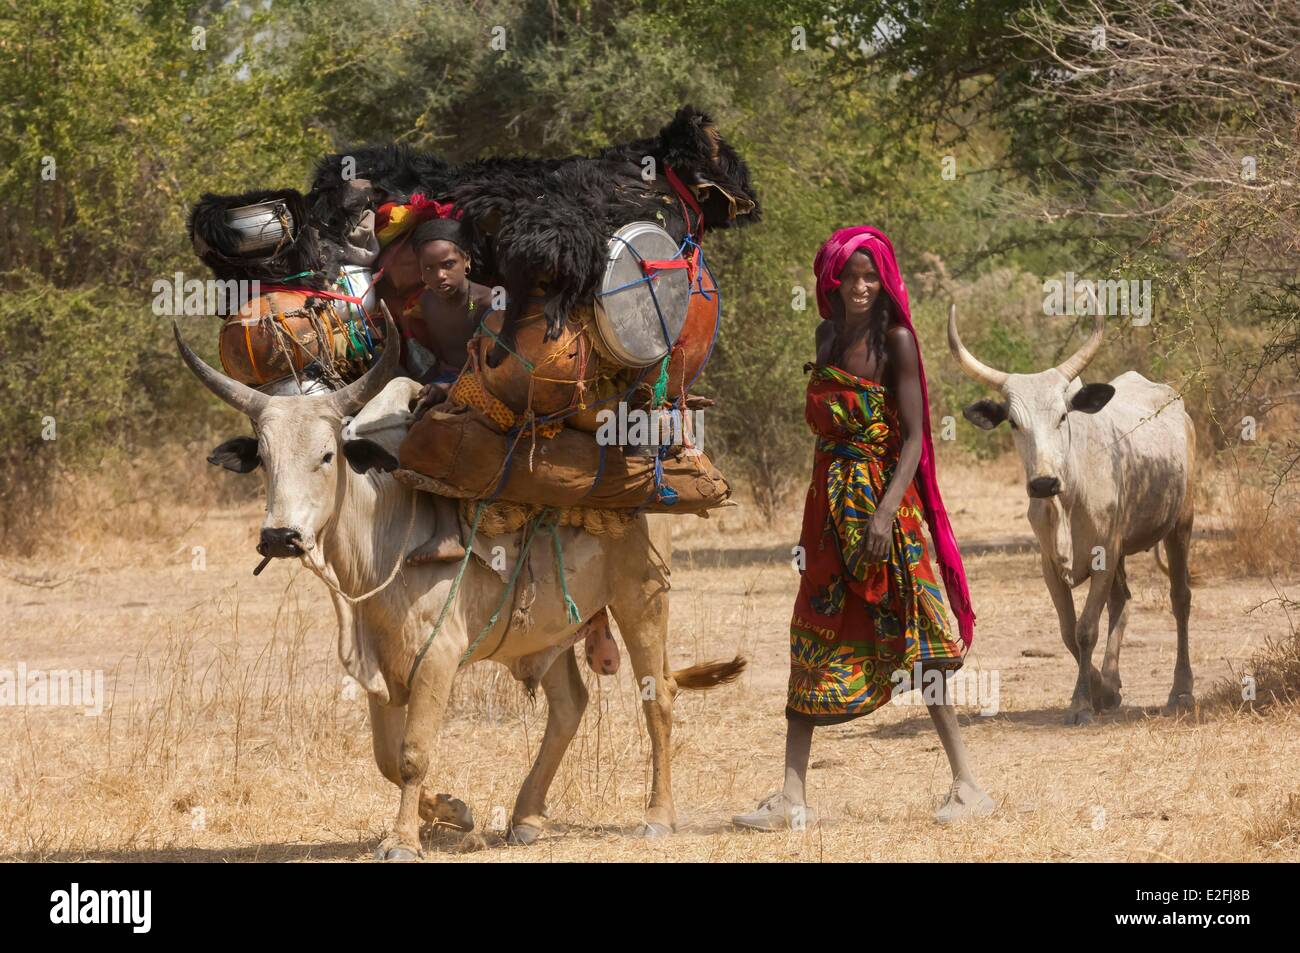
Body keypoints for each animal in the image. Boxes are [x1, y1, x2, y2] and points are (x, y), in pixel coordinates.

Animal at [175, 314, 743, 863]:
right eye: (265, 459)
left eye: (327, 455)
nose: (281, 536)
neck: (384, 536)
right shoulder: (380, 670)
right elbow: (386, 758)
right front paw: (454, 811)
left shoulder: (436, 657)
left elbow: (412, 754)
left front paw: (404, 841)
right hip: (549, 628)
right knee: (570, 705)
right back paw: (527, 817)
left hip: (642, 598)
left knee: (658, 696)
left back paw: (658, 816)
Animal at [951, 308, 1190, 722]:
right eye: (1013, 422)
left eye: (1063, 416)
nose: (1043, 482)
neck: (1067, 497)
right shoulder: (1050, 563)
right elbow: (1068, 631)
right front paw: (1101, 691)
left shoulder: (1104, 553)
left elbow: (1085, 630)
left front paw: (1081, 703)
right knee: (1123, 600)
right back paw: (1112, 680)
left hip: (1181, 524)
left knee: (1180, 599)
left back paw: (1181, 690)